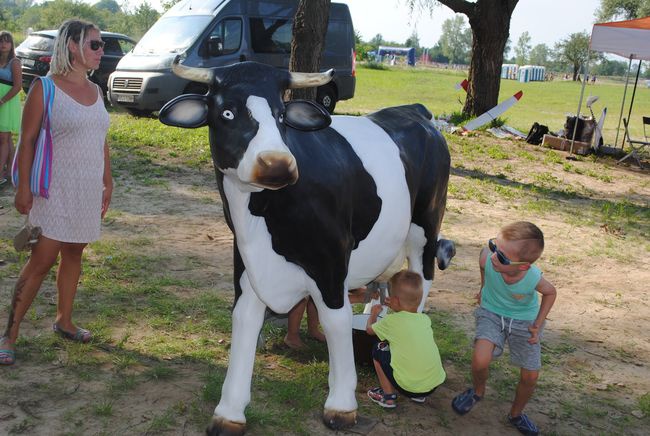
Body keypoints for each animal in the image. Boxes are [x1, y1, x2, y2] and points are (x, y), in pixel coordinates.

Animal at [159, 58, 454, 436]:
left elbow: (336, 320)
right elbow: (244, 318)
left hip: (427, 223)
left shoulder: (331, 259)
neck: (264, 213)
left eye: (282, 114)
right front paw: (229, 411)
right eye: (227, 112)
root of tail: (415, 110)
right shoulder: (246, 259)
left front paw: (341, 406)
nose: (276, 164)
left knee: (422, 278)